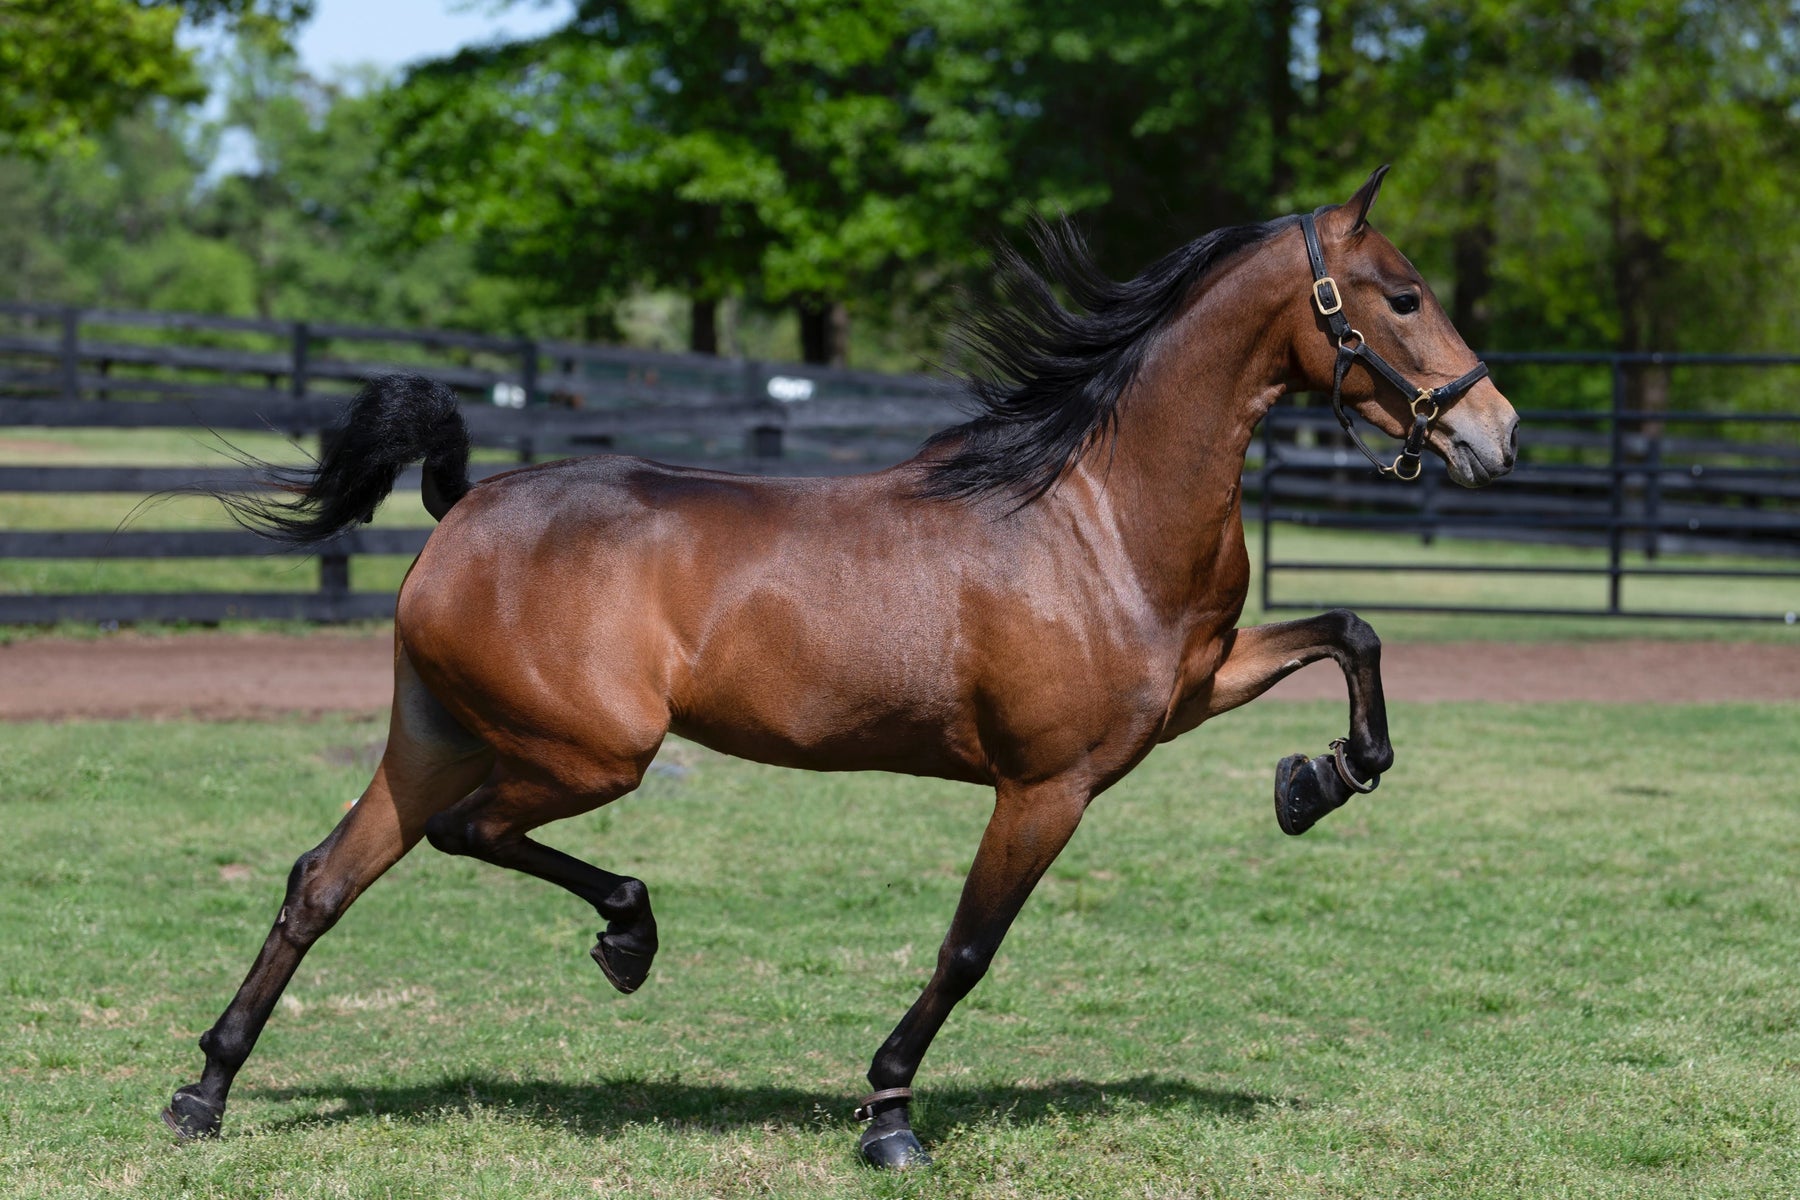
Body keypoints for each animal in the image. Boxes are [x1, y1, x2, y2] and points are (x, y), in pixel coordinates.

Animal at [162, 167, 1517, 1169]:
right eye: (1401, 297)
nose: (1494, 432)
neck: (1096, 515)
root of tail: (463, 509)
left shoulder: (1194, 687)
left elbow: (1352, 633)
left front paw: (1315, 781)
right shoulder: (1049, 786)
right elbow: (967, 951)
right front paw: (889, 1119)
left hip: (435, 738)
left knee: (321, 881)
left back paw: (204, 1094)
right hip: (588, 751)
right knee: (470, 836)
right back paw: (628, 935)